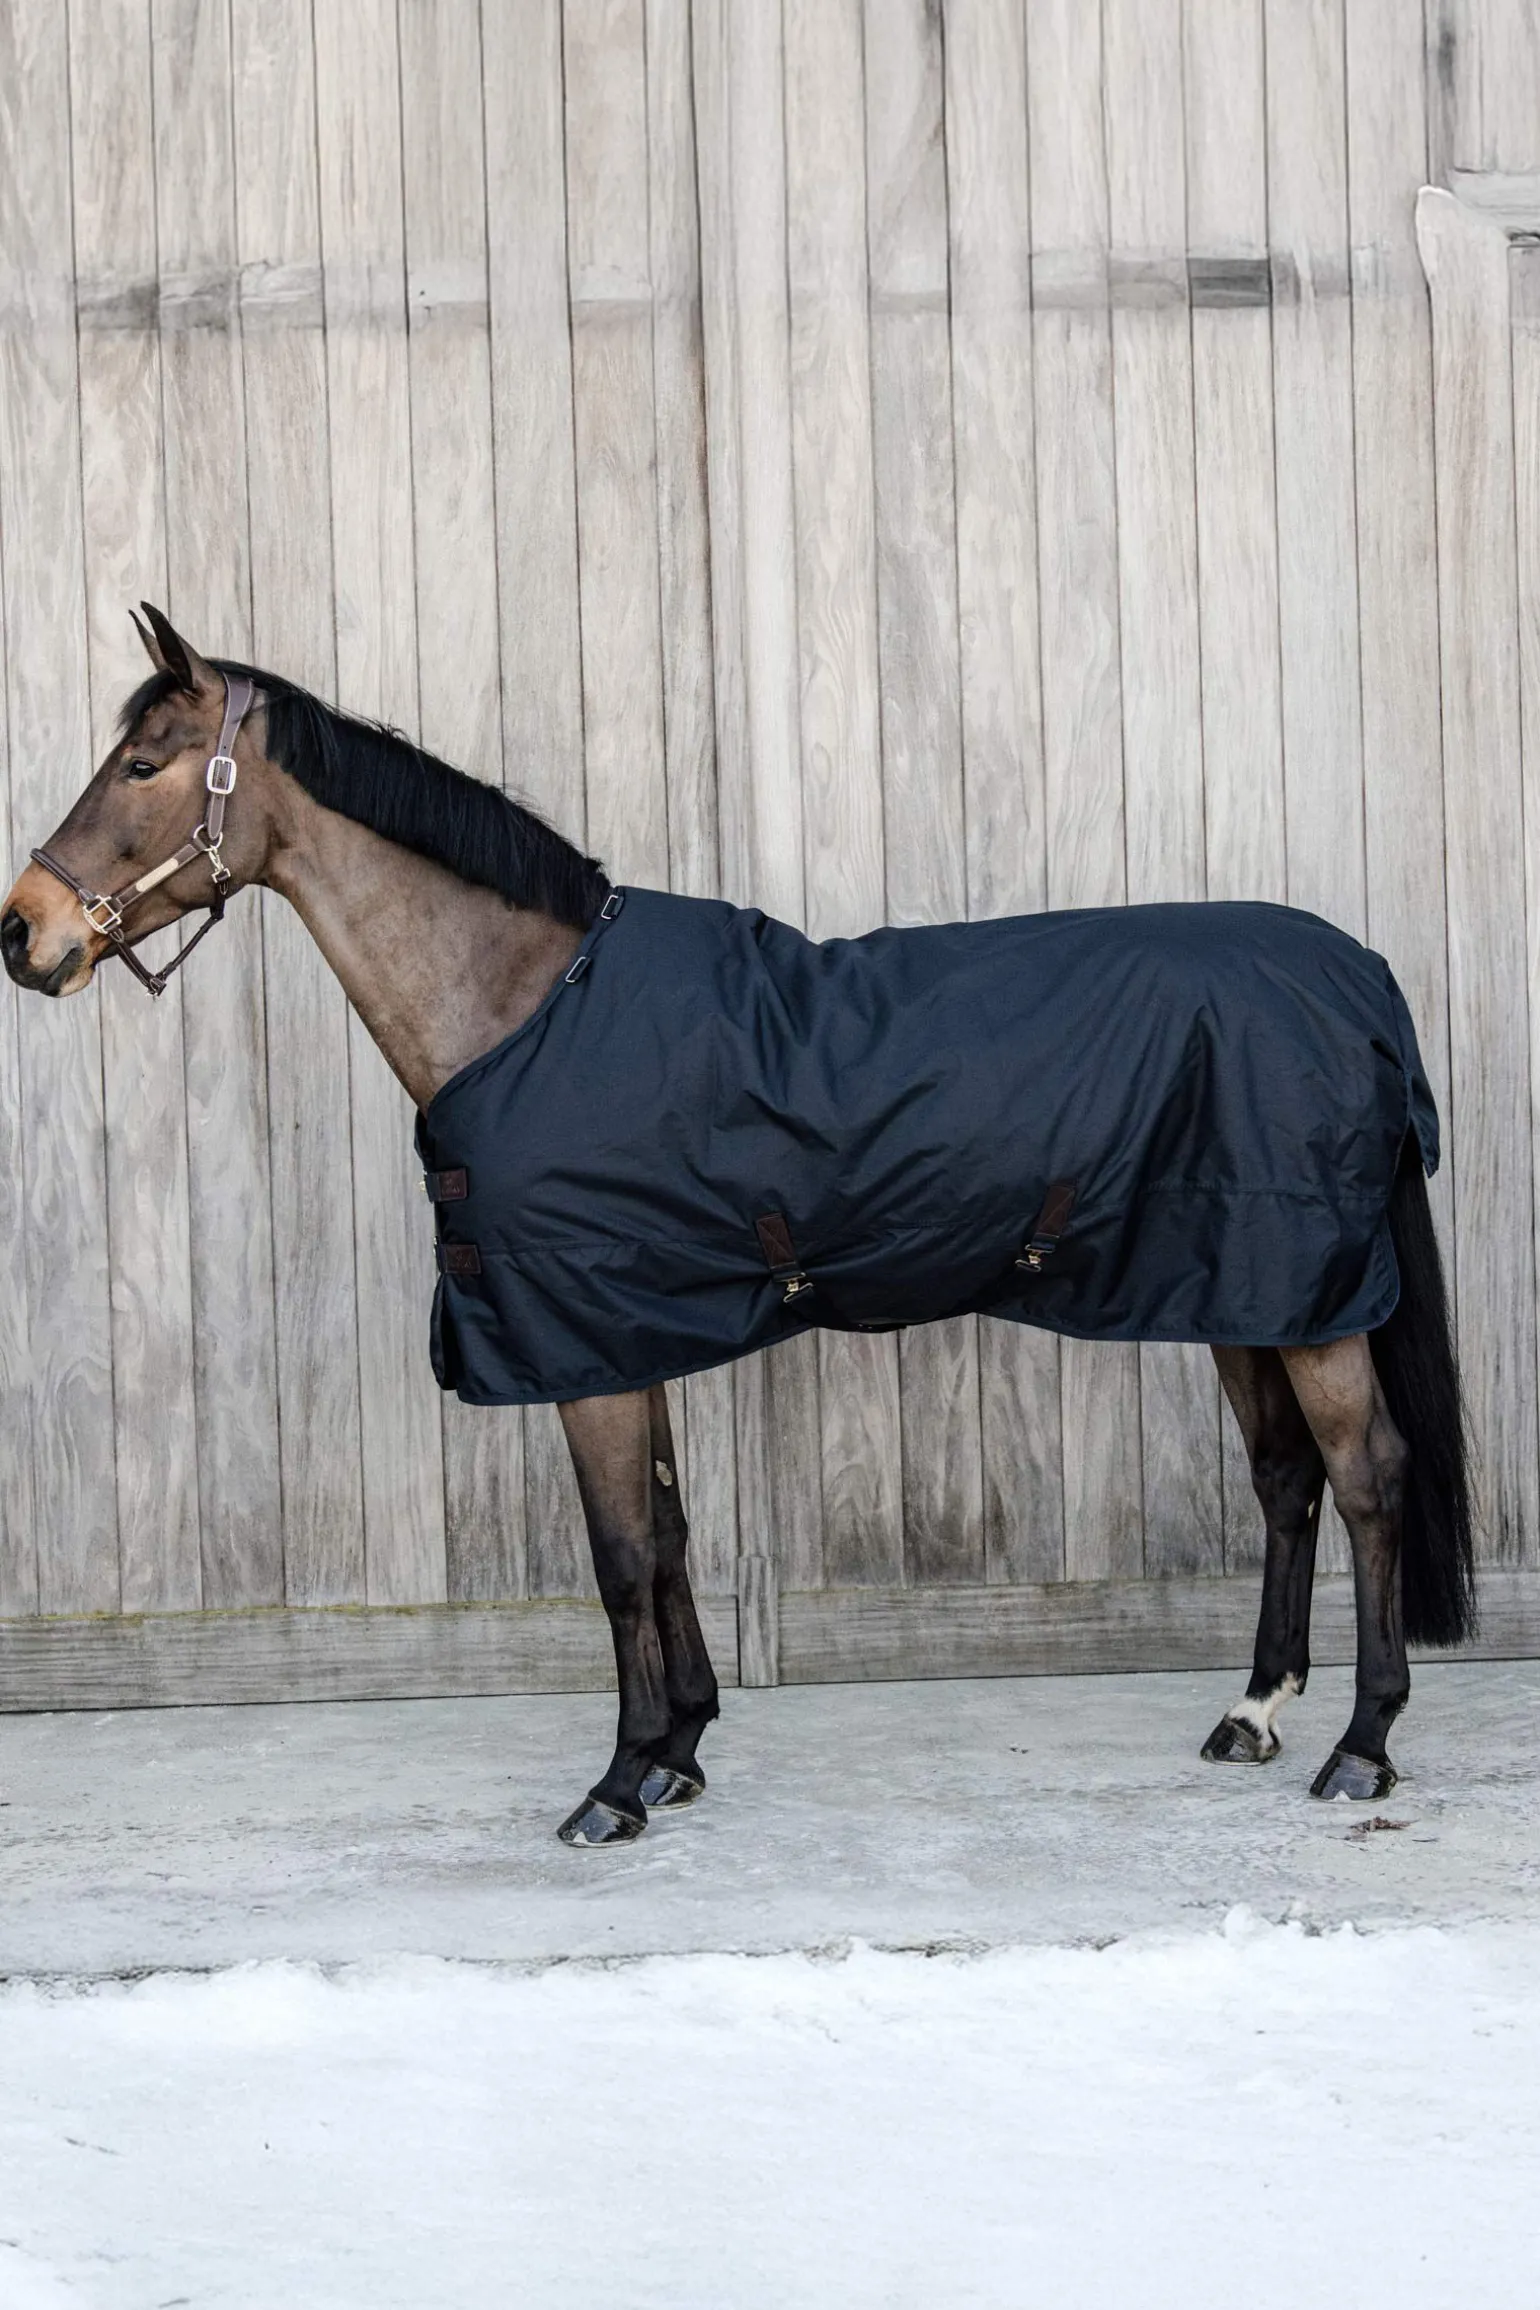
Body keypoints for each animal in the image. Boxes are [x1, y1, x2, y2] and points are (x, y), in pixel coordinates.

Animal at [2, 606, 1475, 1845]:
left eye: (142, 761)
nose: (25, 933)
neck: (529, 1007)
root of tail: (1358, 975)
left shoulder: (581, 1346)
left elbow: (617, 1556)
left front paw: (615, 1783)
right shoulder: (621, 1331)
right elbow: (668, 1534)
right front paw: (680, 1751)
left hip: (1308, 1300)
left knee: (1368, 1478)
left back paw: (1360, 1745)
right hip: (1243, 1291)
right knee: (1285, 1481)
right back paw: (1253, 1713)